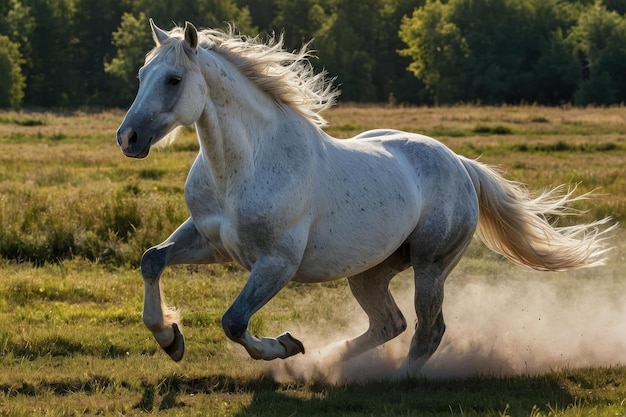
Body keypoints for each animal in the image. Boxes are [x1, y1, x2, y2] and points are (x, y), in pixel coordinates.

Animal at [116, 20, 608, 376]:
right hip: (370, 272)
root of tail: (459, 164)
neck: (242, 167)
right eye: (141, 75)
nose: (128, 137)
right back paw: (321, 363)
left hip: (431, 264)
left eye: (174, 79)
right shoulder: (210, 240)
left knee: (429, 330)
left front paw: (281, 347)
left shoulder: (276, 262)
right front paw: (171, 339)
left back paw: (394, 380)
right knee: (391, 324)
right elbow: (152, 260)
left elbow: (234, 321)